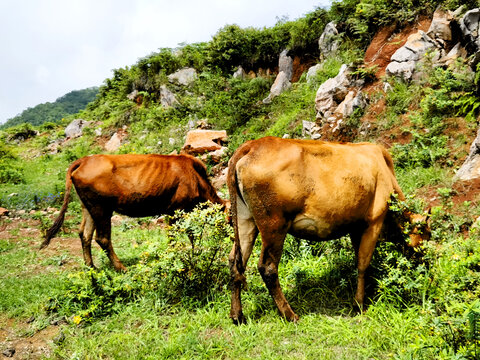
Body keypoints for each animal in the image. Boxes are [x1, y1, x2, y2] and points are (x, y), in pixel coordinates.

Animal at [39, 153, 225, 272]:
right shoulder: (175, 209)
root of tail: (84, 160)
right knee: (102, 238)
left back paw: (91, 266)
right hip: (102, 209)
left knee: (84, 234)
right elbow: (176, 236)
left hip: (88, 207)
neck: (196, 178)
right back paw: (121, 268)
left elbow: (190, 234)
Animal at [227, 137, 430, 324]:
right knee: (267, 267)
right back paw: (290, 314)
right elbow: (363, 264)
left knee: (235, 262)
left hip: (245, 220)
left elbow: (359, 259)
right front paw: (359, 304)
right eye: (427, 235)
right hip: (274, 225)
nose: (427, 264)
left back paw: (237, 316)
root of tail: (251, 145)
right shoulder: (374, 221)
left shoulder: (355, 227)